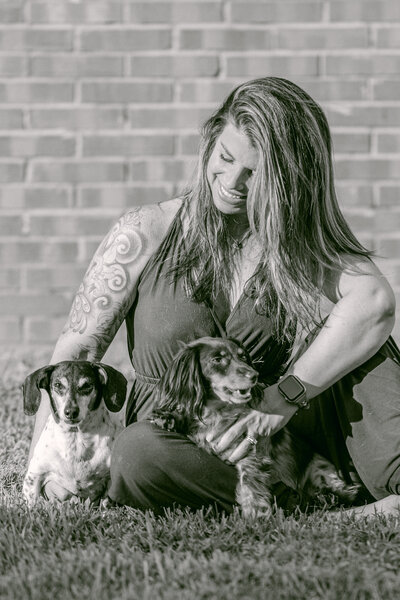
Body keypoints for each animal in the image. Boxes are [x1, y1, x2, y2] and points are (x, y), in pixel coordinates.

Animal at [22, 360, 126, 506]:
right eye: (58, 385)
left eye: (86, 385)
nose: (71, 411)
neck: (75, 438)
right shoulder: (35, 474)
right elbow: (32, 500)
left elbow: (106, 500)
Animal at [151, 338, 362, 516]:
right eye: (218, 359)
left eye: (242, 356)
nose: (254, 375)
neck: (218, 411)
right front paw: (167, 417)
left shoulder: (251, 454)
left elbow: (249, 484)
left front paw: (256, 514)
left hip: (322, 471)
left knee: (346, 492)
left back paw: (325, 497)